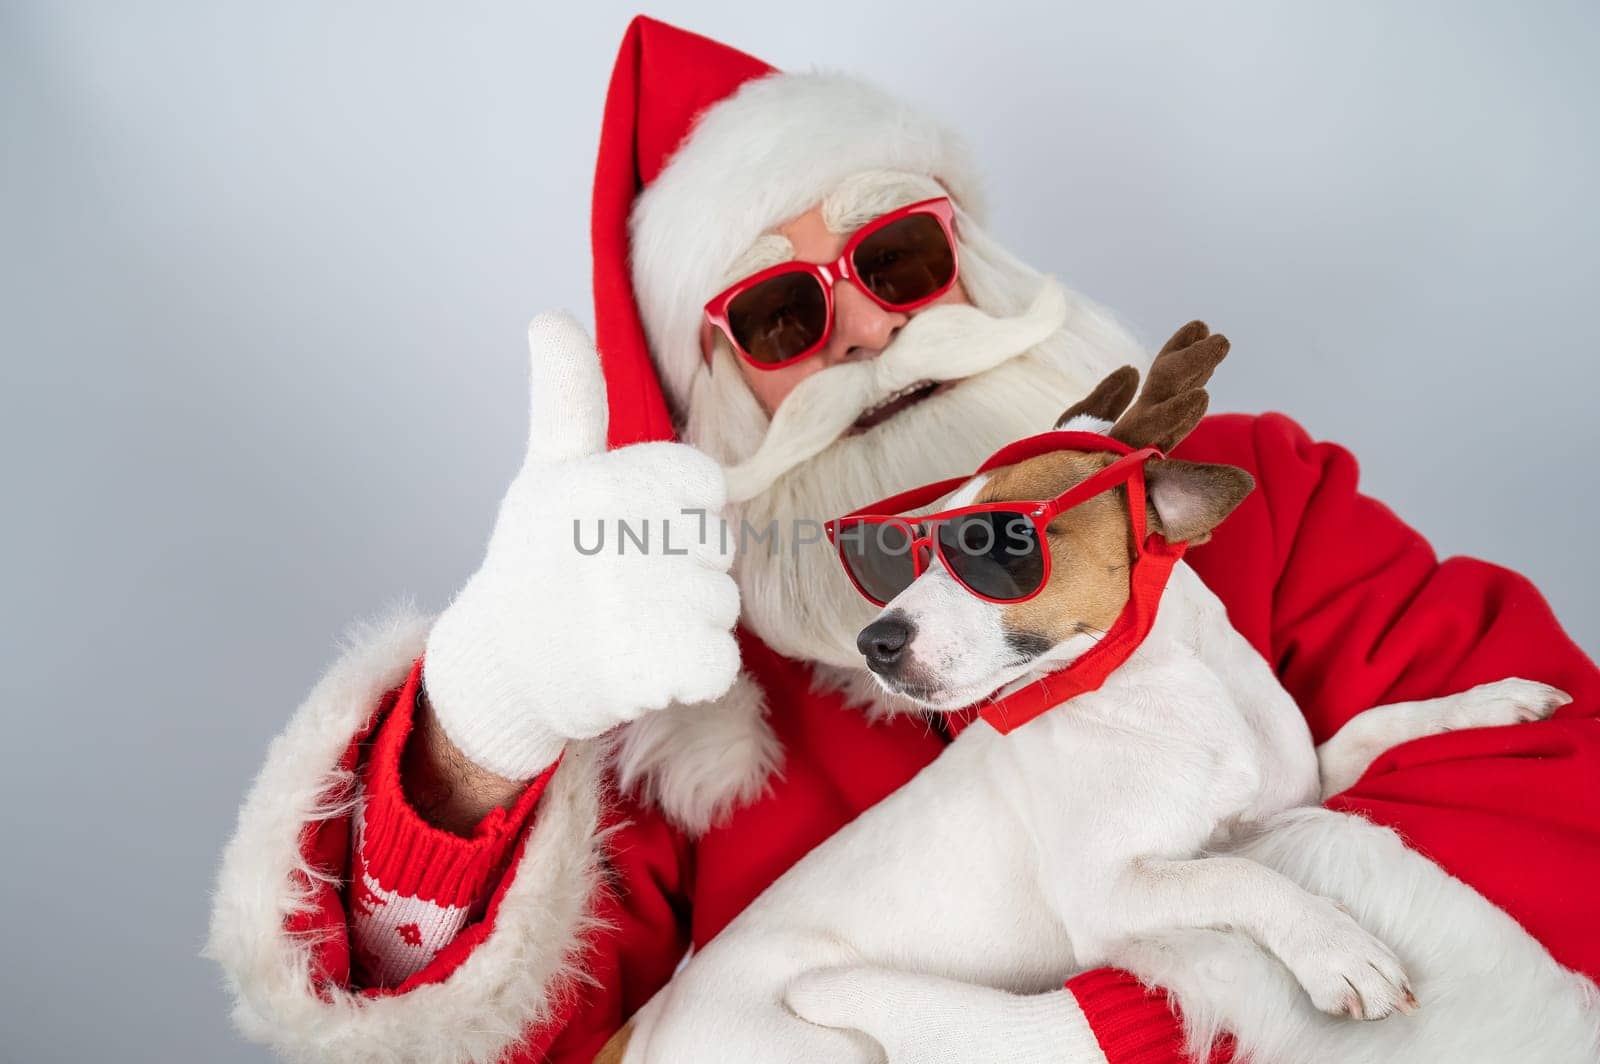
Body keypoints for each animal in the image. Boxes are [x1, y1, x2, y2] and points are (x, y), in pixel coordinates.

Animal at [604, 326, 1568, 1062]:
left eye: (995, 543)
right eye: (908, 554)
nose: (873, 642)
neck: (1160, 687)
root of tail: (651, 1030)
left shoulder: (1296, 790)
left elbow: (1371, 727)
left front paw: (1487, 705)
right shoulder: (1116, 894)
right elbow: (1243, 877)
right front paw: (1336, 948)